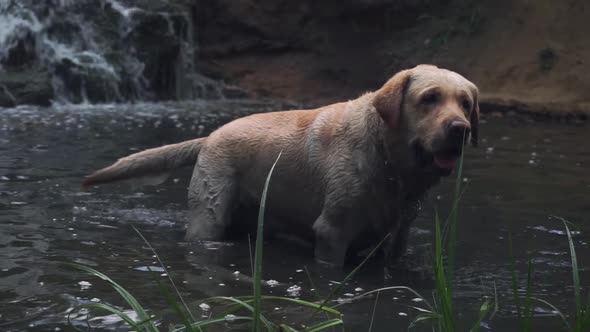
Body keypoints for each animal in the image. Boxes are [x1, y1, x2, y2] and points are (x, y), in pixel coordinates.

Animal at [83, 64, 480, 268]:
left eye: (465, 103)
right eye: (429, 99)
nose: (461, 129)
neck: (389, 160)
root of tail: (210, 135)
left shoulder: (398, 237)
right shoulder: (332, 232)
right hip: (209, 216)